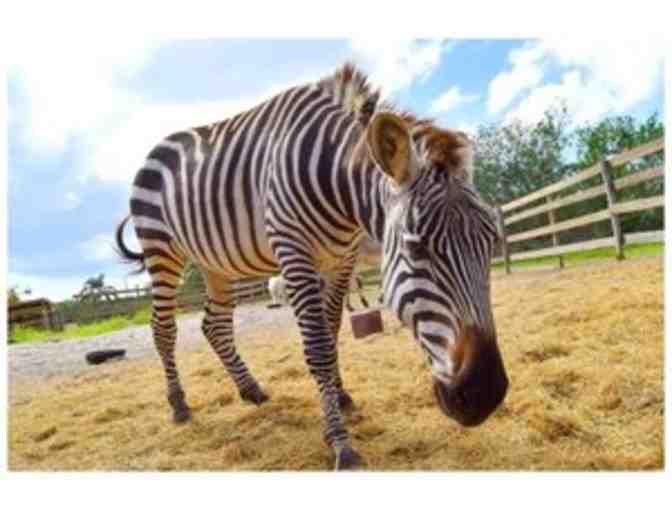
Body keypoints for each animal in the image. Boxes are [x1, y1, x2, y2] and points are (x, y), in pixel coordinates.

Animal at [115, 63, 508, 470]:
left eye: (491, 243)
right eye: (416, 248)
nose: (486, 395)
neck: (336, 186)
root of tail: (158, 145)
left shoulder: (340, 260)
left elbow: (332, 333)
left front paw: (341, 397)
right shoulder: (295, 254)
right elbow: (318, 346)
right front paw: (341, 444)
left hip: (215, 264)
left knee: (215, 325)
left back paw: (250, 389)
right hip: (161, 250)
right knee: (163, 328)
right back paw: (179, 404)